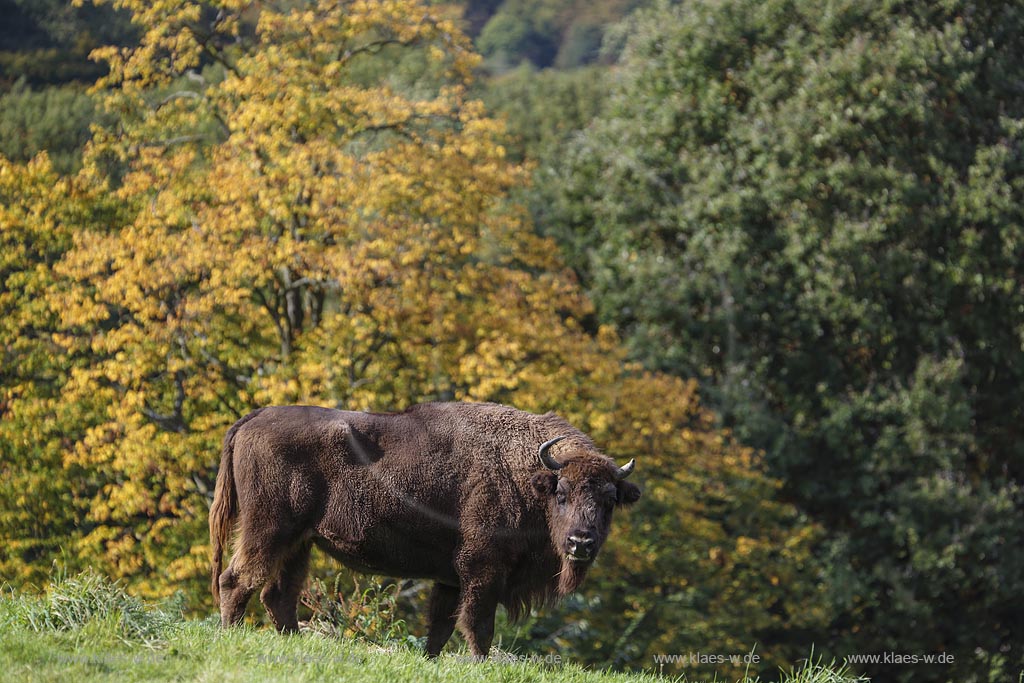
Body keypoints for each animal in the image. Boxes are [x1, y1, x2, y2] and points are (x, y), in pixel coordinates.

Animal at [207, 401, 638, 655]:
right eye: (561, 493)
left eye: (608, 500)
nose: (581, 542)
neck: (527, 474)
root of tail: (254, 418)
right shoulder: (482, 569)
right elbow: (478, 625)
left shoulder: (450, 579)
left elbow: (440, 627)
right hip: (269, 529)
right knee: (236, 580)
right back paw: (230, 635)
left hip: (301, 541)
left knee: (279, 594)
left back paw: (294, 643)